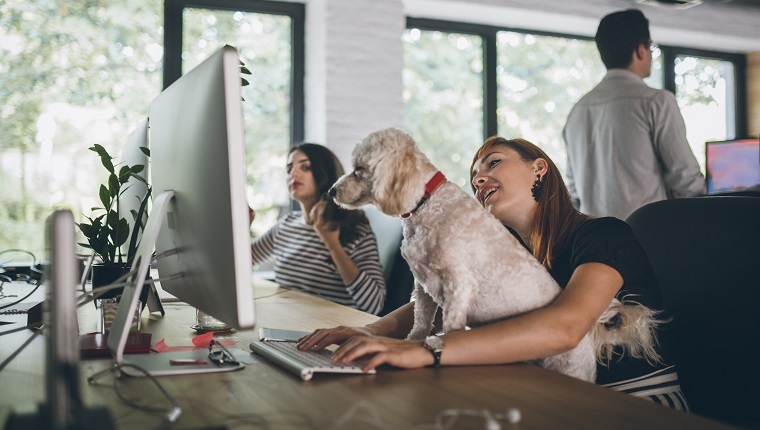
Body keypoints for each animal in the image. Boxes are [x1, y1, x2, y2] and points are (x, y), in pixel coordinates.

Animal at [330, 126, 664, 382]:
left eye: (359, 169)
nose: (332, 191)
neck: (427, 203)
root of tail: (590, 338)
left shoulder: (458, 285)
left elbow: (450, 327)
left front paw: (436, 348)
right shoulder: (423, 288)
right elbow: (421, 321)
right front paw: (412, 342)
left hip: (568, 365)